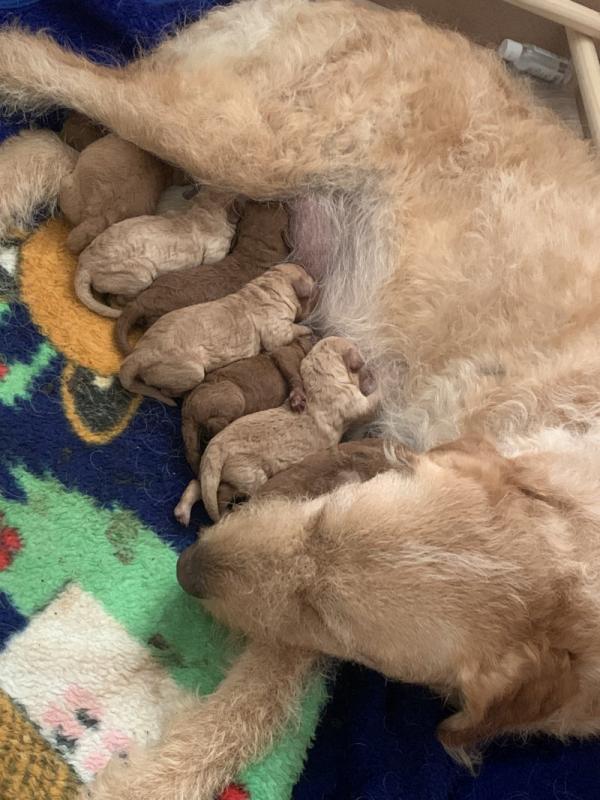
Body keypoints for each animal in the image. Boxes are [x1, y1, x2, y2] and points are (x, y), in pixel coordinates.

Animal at [118, 264, 314, 406]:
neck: (267, 289)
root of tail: (138, 355)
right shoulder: (276, 330)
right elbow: (291, 330)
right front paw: (308, 329)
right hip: (189, 371)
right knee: (166, 390)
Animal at [180, 332, 314, 472]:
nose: (313, 336)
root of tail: (186, 411)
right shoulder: (283, 355)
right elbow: (295, 376)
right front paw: (298, 400)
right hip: (235, 396)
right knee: (214, 425)